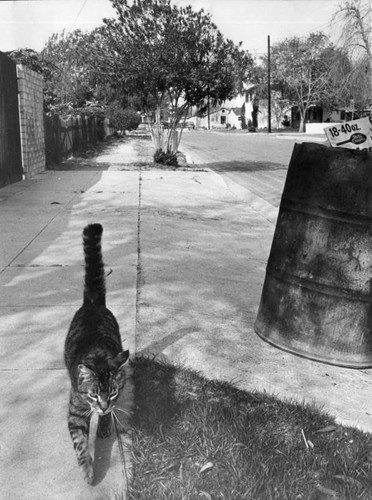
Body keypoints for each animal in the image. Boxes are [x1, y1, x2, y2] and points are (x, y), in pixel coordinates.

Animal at [63, 225, 129, 482]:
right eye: (92, 395)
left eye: (111, 394)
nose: (102, 407)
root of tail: (92, 303)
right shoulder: (75, 411)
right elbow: (80, 442)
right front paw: (87, 469)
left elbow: (108, 415)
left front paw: (104, 425)